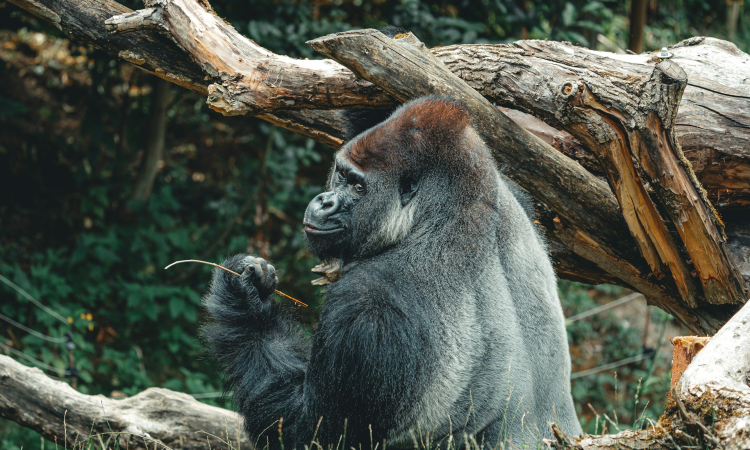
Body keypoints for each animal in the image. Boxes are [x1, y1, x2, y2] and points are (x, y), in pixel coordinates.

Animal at [201, 96, 582, 450]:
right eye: (341, 174)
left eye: (358, 187)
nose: (325, 201)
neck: (447, 212)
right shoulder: (510, 191)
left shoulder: (367, 308)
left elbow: (311, 435)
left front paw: (245, 305)